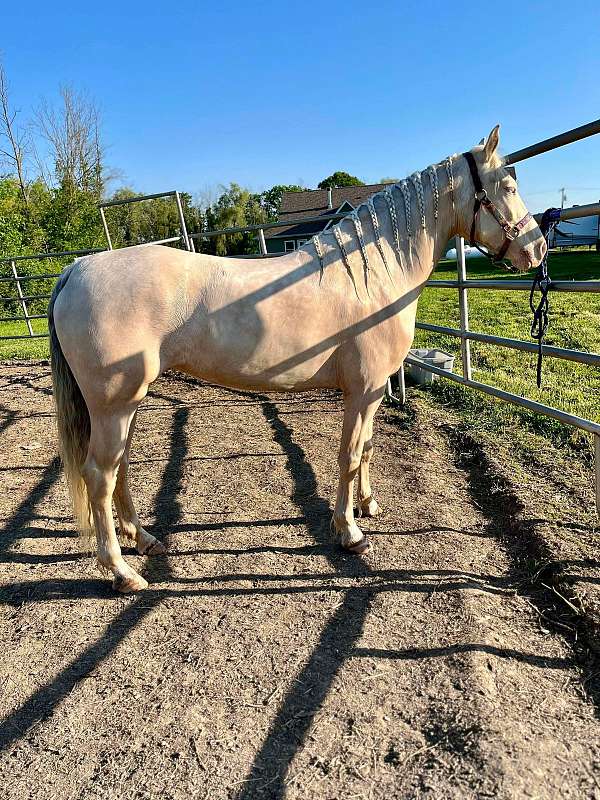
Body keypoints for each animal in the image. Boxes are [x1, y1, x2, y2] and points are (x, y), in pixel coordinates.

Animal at [49, 123, 548, 588]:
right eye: (507, 186)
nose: (538, 248)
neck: (374, 273)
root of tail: (76, 269)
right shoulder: (362, 391)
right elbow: (349, 455)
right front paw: (349, 531)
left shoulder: (373, 393)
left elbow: (367, 447)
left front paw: (368, 504)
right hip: (114, 405)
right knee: (99, 475)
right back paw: (121, 572)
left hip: (126, 405)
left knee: (120, 467)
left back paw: (144, 538)